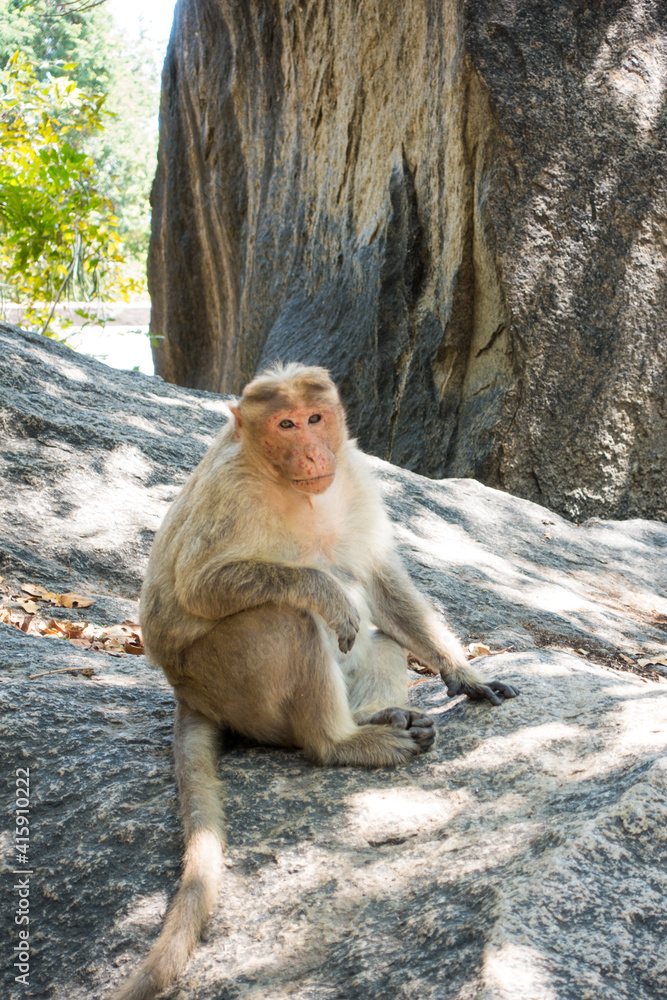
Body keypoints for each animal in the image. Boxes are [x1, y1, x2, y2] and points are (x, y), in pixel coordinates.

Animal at [111, 362, 518, 1000]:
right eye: (285, 423)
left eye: (315, 417)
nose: (310, 450)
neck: (289, 484)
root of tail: (187, 693)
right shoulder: (232, 492)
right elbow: (200, 586)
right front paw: (324, 591)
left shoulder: (353, 472)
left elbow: (380, 579)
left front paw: (464, 673)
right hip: (229, 680)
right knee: (290, 620)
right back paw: (343, 742)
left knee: (382, 639)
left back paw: (380, 716)